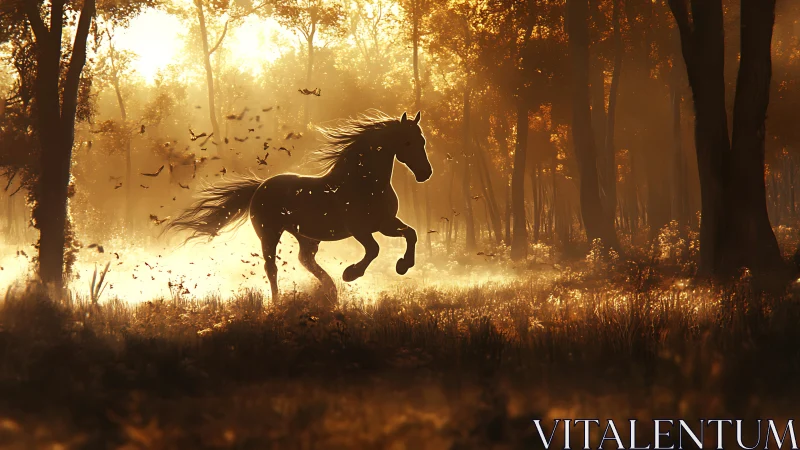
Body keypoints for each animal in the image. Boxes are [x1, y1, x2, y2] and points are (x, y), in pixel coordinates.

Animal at [165, 111, 432, 303]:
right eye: (408, 142)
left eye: (422, 141)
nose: (425, 173)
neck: (364, 182)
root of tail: (260, 186)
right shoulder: (360, 229)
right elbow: (374, 249)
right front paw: (351, 273)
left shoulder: (385, 223)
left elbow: (411, 234)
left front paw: (402, 266)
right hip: (270, 234)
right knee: (272, 267)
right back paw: (278, 301)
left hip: (307, 236)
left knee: (305, 259)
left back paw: (330, 289)